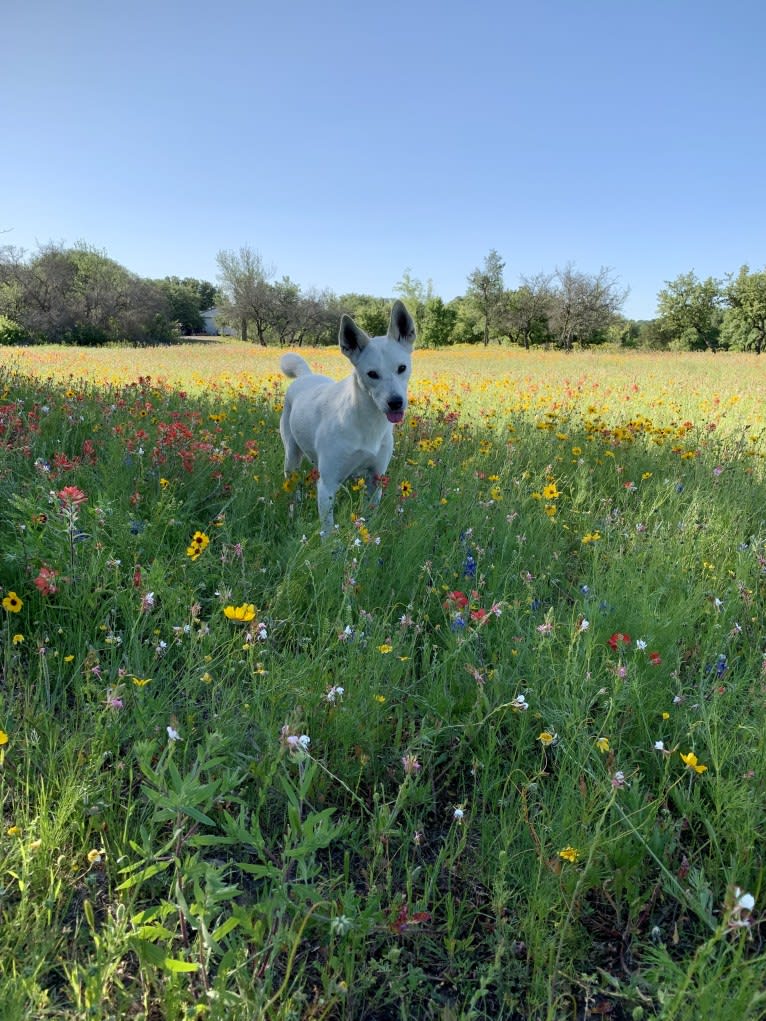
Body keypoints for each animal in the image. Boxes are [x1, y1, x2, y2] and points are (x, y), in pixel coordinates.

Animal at [279, 300, 416, 535]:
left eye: (402, 368)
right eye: (372, 374)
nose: (396, 402)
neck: (367, 423)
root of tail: (306, 376)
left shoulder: (375, 478)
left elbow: (368, 516)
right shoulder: (327, 485)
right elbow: (327, 530)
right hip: (291, 456)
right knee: (292, 486)